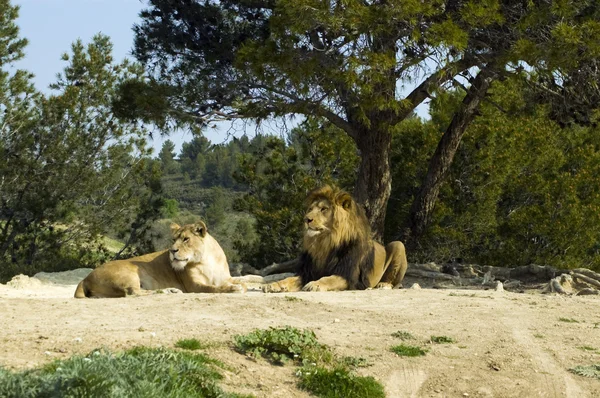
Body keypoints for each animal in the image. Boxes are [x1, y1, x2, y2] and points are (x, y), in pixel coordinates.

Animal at [75, 222, 248, 296]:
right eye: (173, 239)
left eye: (185, 239)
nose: (172, 250)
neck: (206, 260)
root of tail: (85, 278)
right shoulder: (193, 286)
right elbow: (213, 288)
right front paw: (233, 289)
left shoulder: (224, 277)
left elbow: (242, 282)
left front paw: (240, 285)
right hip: (129, 273)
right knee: (133, 293)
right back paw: (167, 291)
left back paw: (171, 290)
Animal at [262, 186, 408, 292]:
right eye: (310, 209)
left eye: (323, 209)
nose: (306, 219)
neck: (325, 243)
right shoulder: (307, 272)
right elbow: (289, 279)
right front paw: (273, 284)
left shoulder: (349, 276)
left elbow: (329, 279)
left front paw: (314, 284)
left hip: (398, 244)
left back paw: (383, 284)